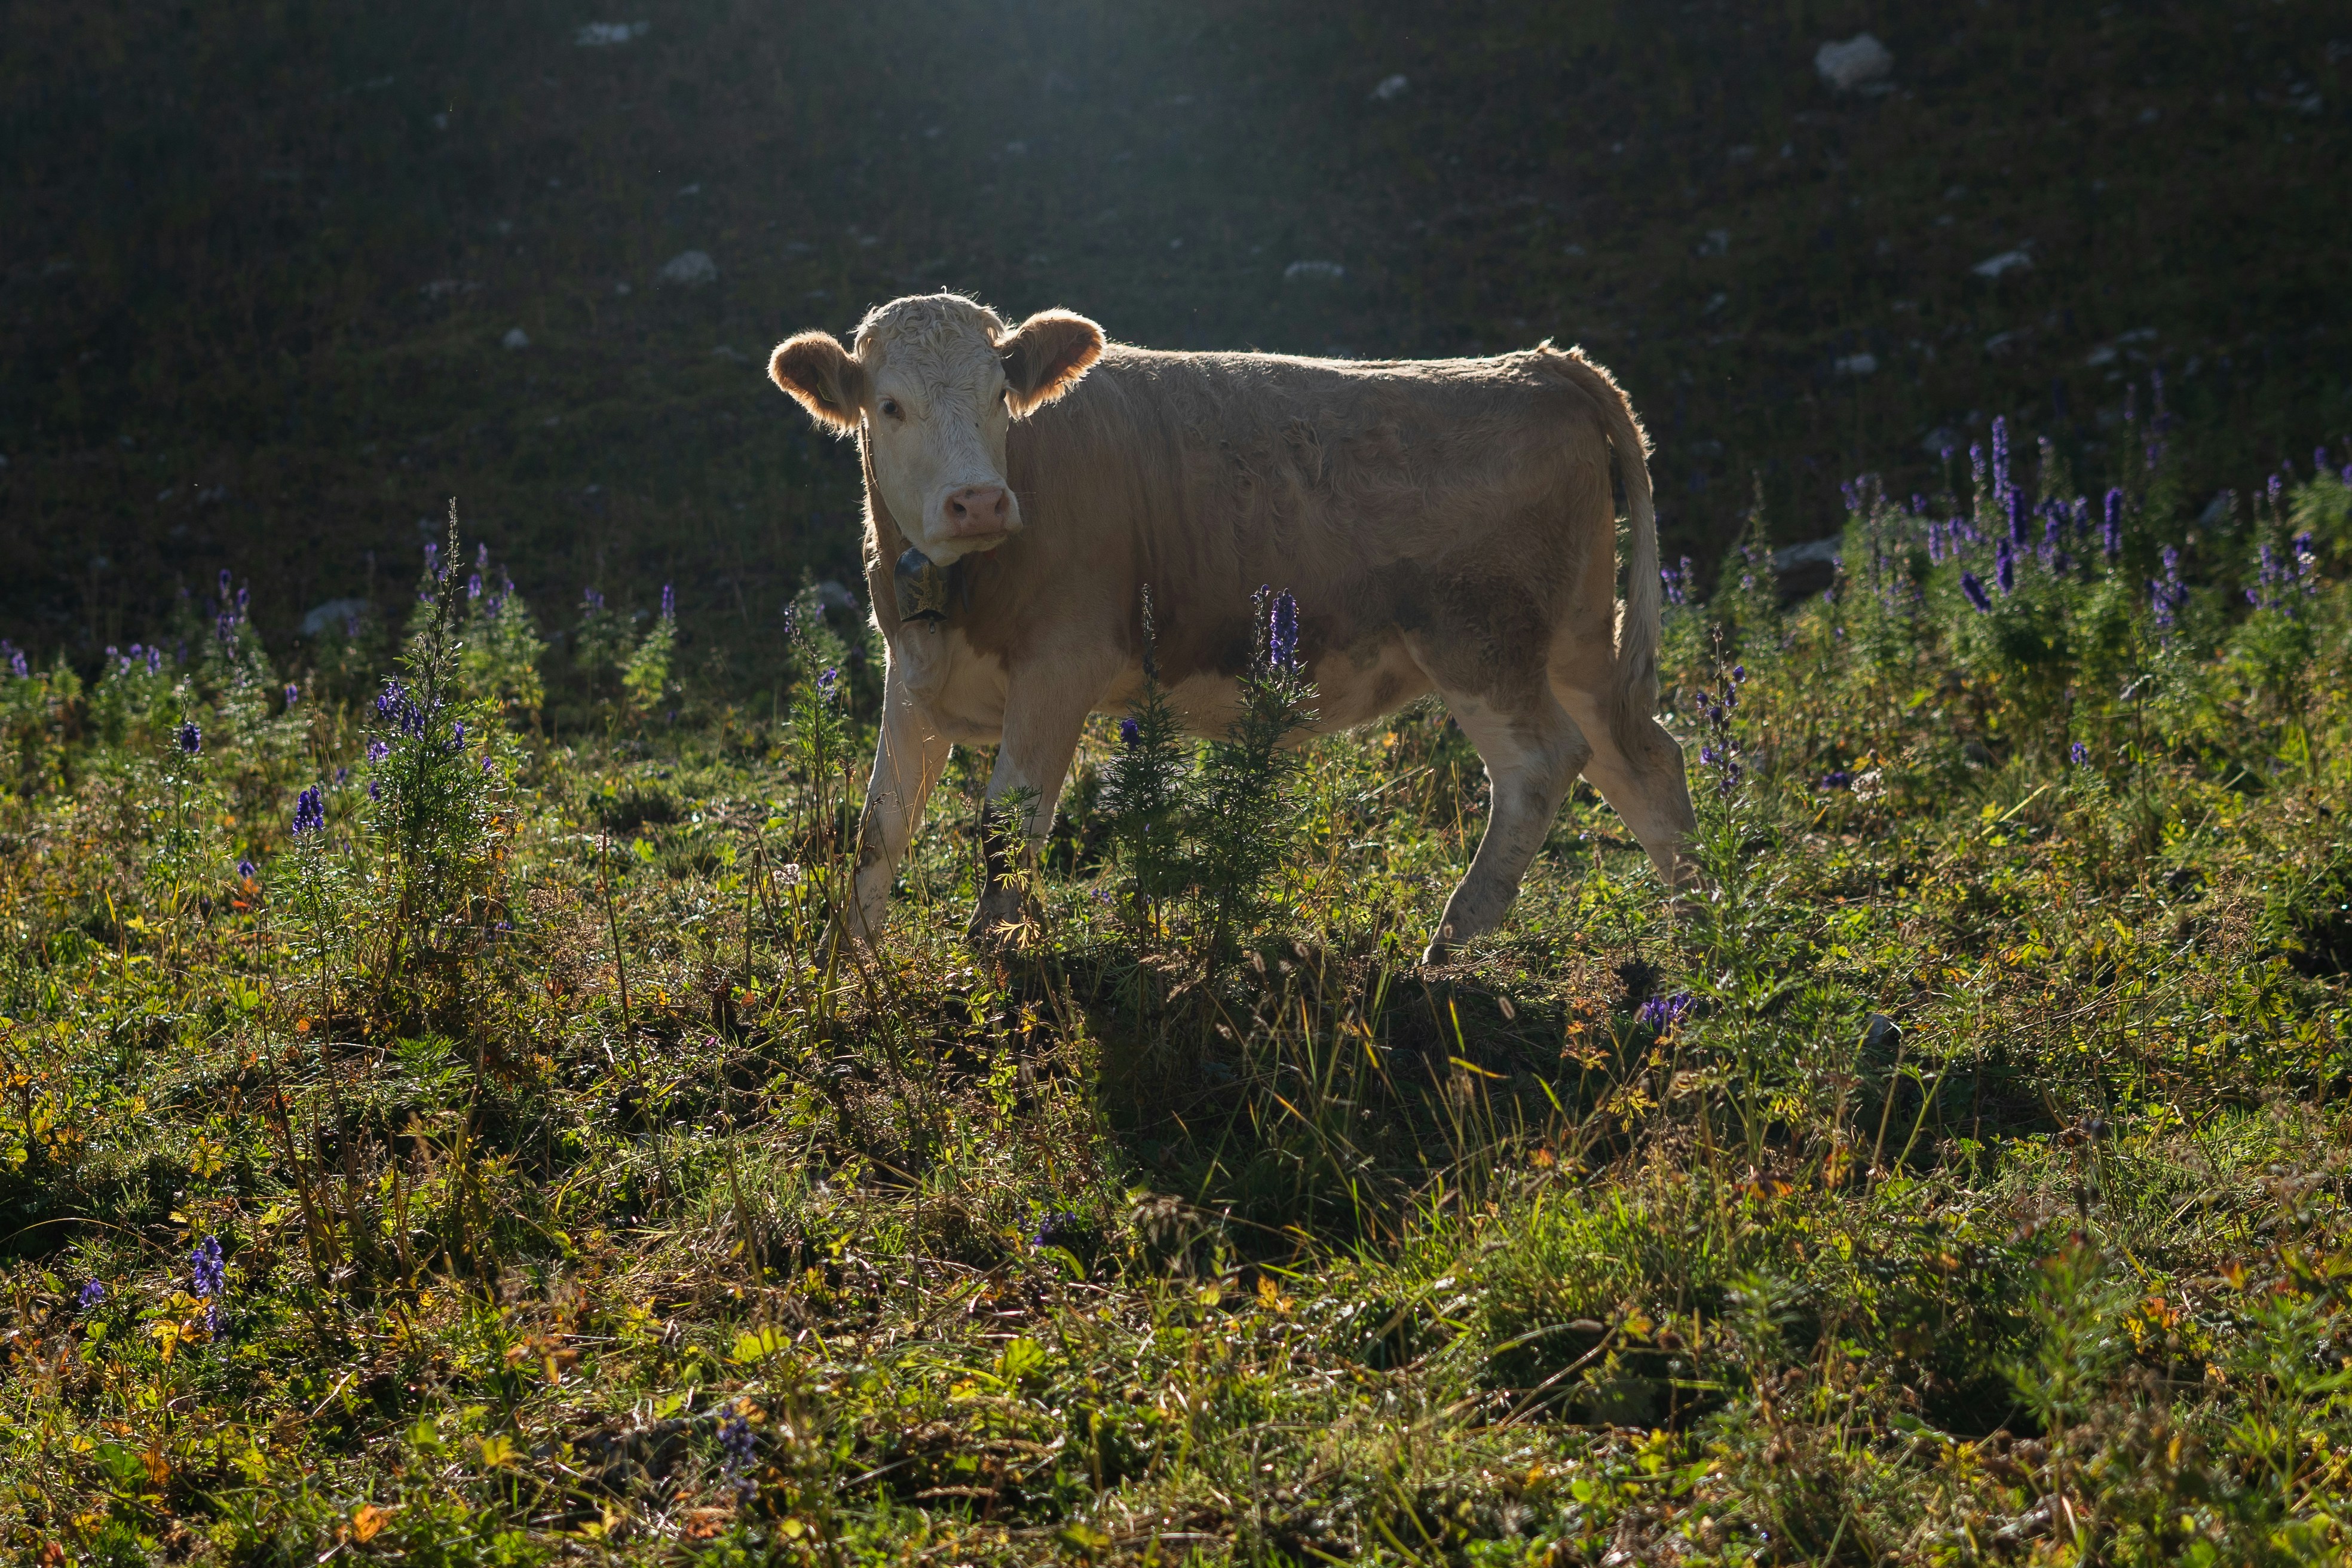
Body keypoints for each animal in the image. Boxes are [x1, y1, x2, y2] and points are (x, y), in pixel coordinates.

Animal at [768, 292, 1695, 963]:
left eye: (1002, 395)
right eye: (890, 406)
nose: (979, 501)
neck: (962, 586)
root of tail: (1539, 366)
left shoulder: (1060, 665)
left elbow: (1006, 823)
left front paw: (995, 956)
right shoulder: (916, 675)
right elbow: (877, 827)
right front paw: (843, 965)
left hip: (1480, 641)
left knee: (1544, 762)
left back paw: (1455, 939)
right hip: (1574, 639)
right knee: (1641, 759)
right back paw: (1702, 925)